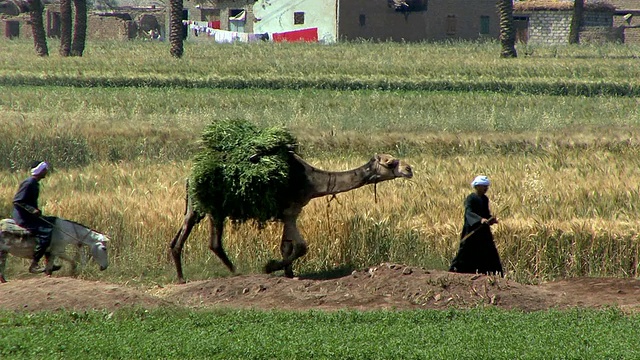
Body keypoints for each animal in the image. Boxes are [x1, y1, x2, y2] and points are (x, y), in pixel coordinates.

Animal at [168, 152, 412, 284]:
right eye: (390, 162)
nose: (409, 169)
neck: (312, 181)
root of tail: (190, 176)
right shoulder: (290, 211)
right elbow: (301, 246)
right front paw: (269, 267)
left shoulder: (291, 213)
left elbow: (286, 246)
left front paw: (288, 273)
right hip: (209, 206)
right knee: (208, 239)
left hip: (201, 206)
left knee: (189, 236)